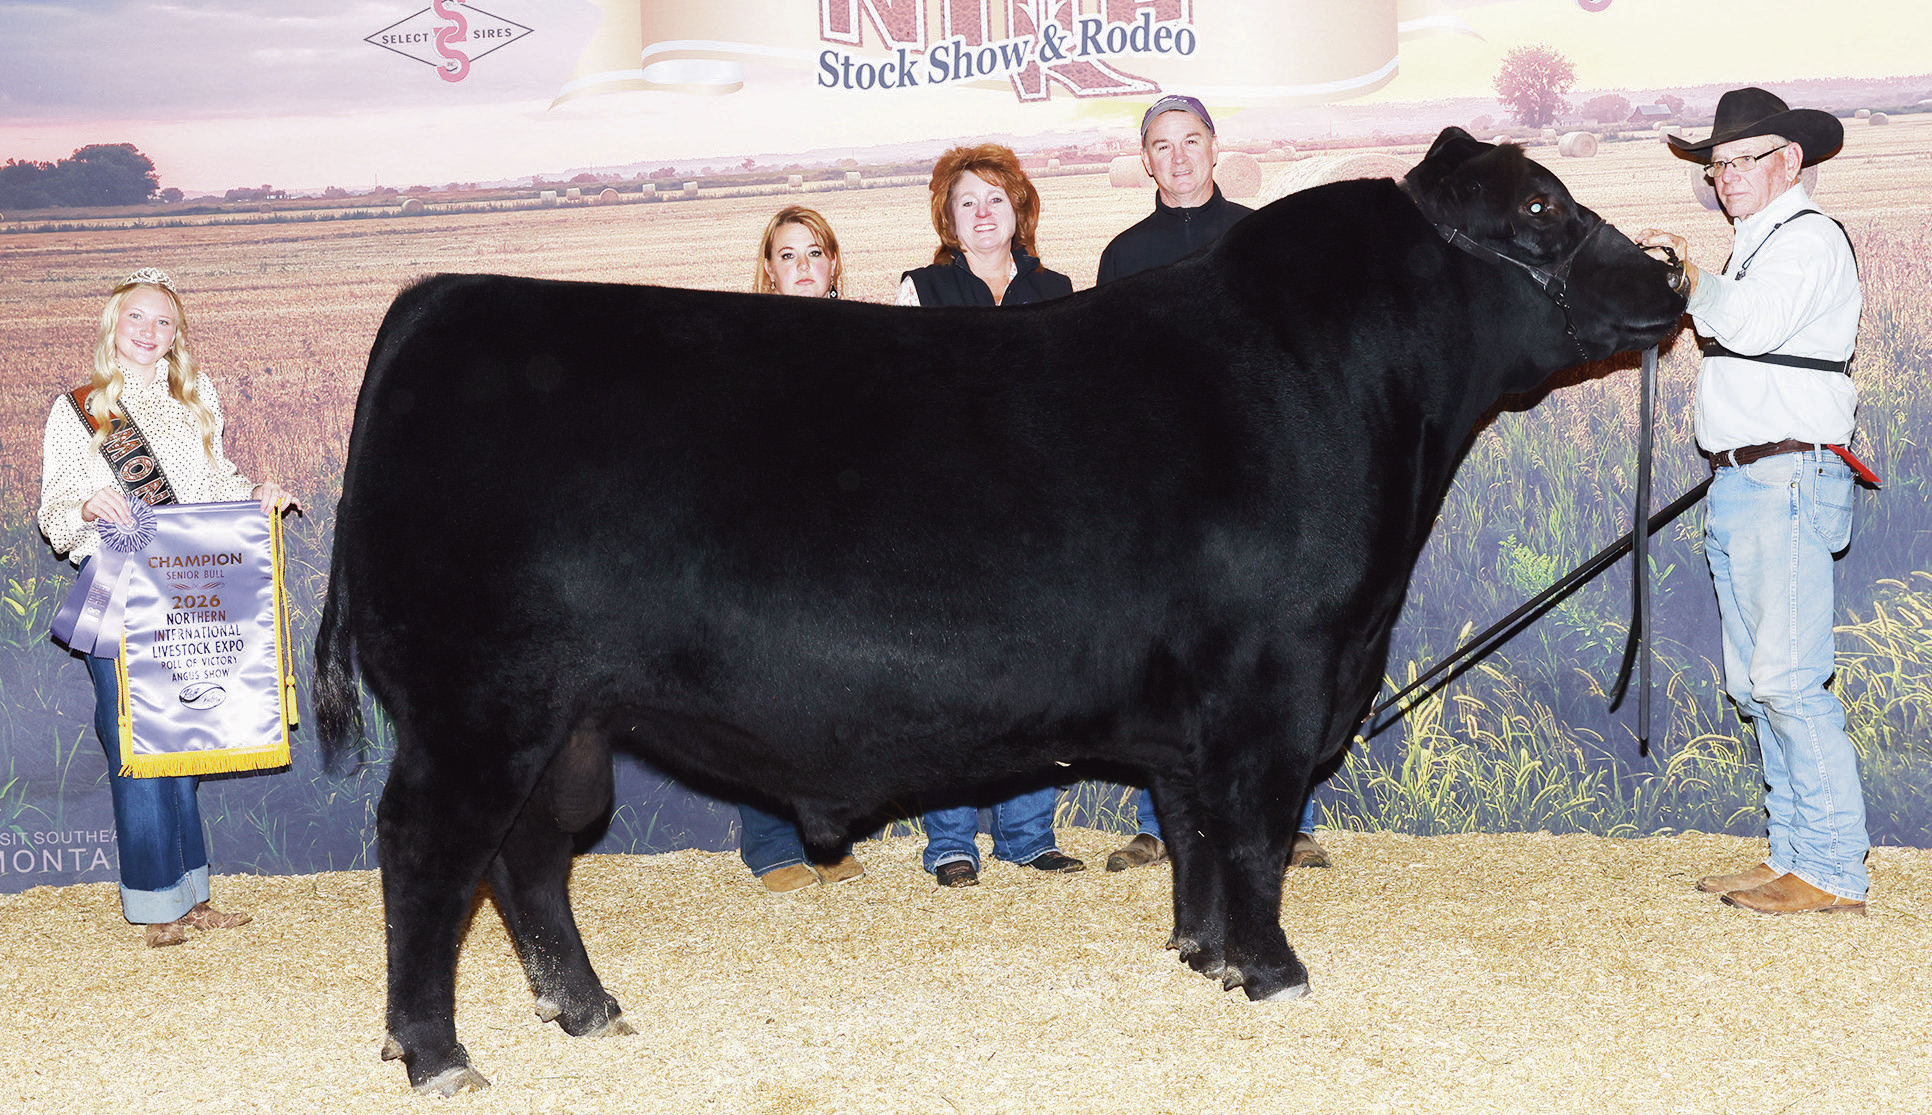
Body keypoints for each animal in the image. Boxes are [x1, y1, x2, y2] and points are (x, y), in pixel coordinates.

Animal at [315, 127, 1686, 1094]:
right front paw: (1275, 971)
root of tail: (441, 295)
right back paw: (437, 1052)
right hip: (476, 703)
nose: (1669, 275)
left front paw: (1201, 953)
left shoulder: (1198, 702)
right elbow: (1252, 829)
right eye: (1542, 209)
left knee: (531, 856)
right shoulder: (1276, 679)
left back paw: (586, 1010)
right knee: (429, 850)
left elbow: (1192, 827)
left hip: (567, 721)